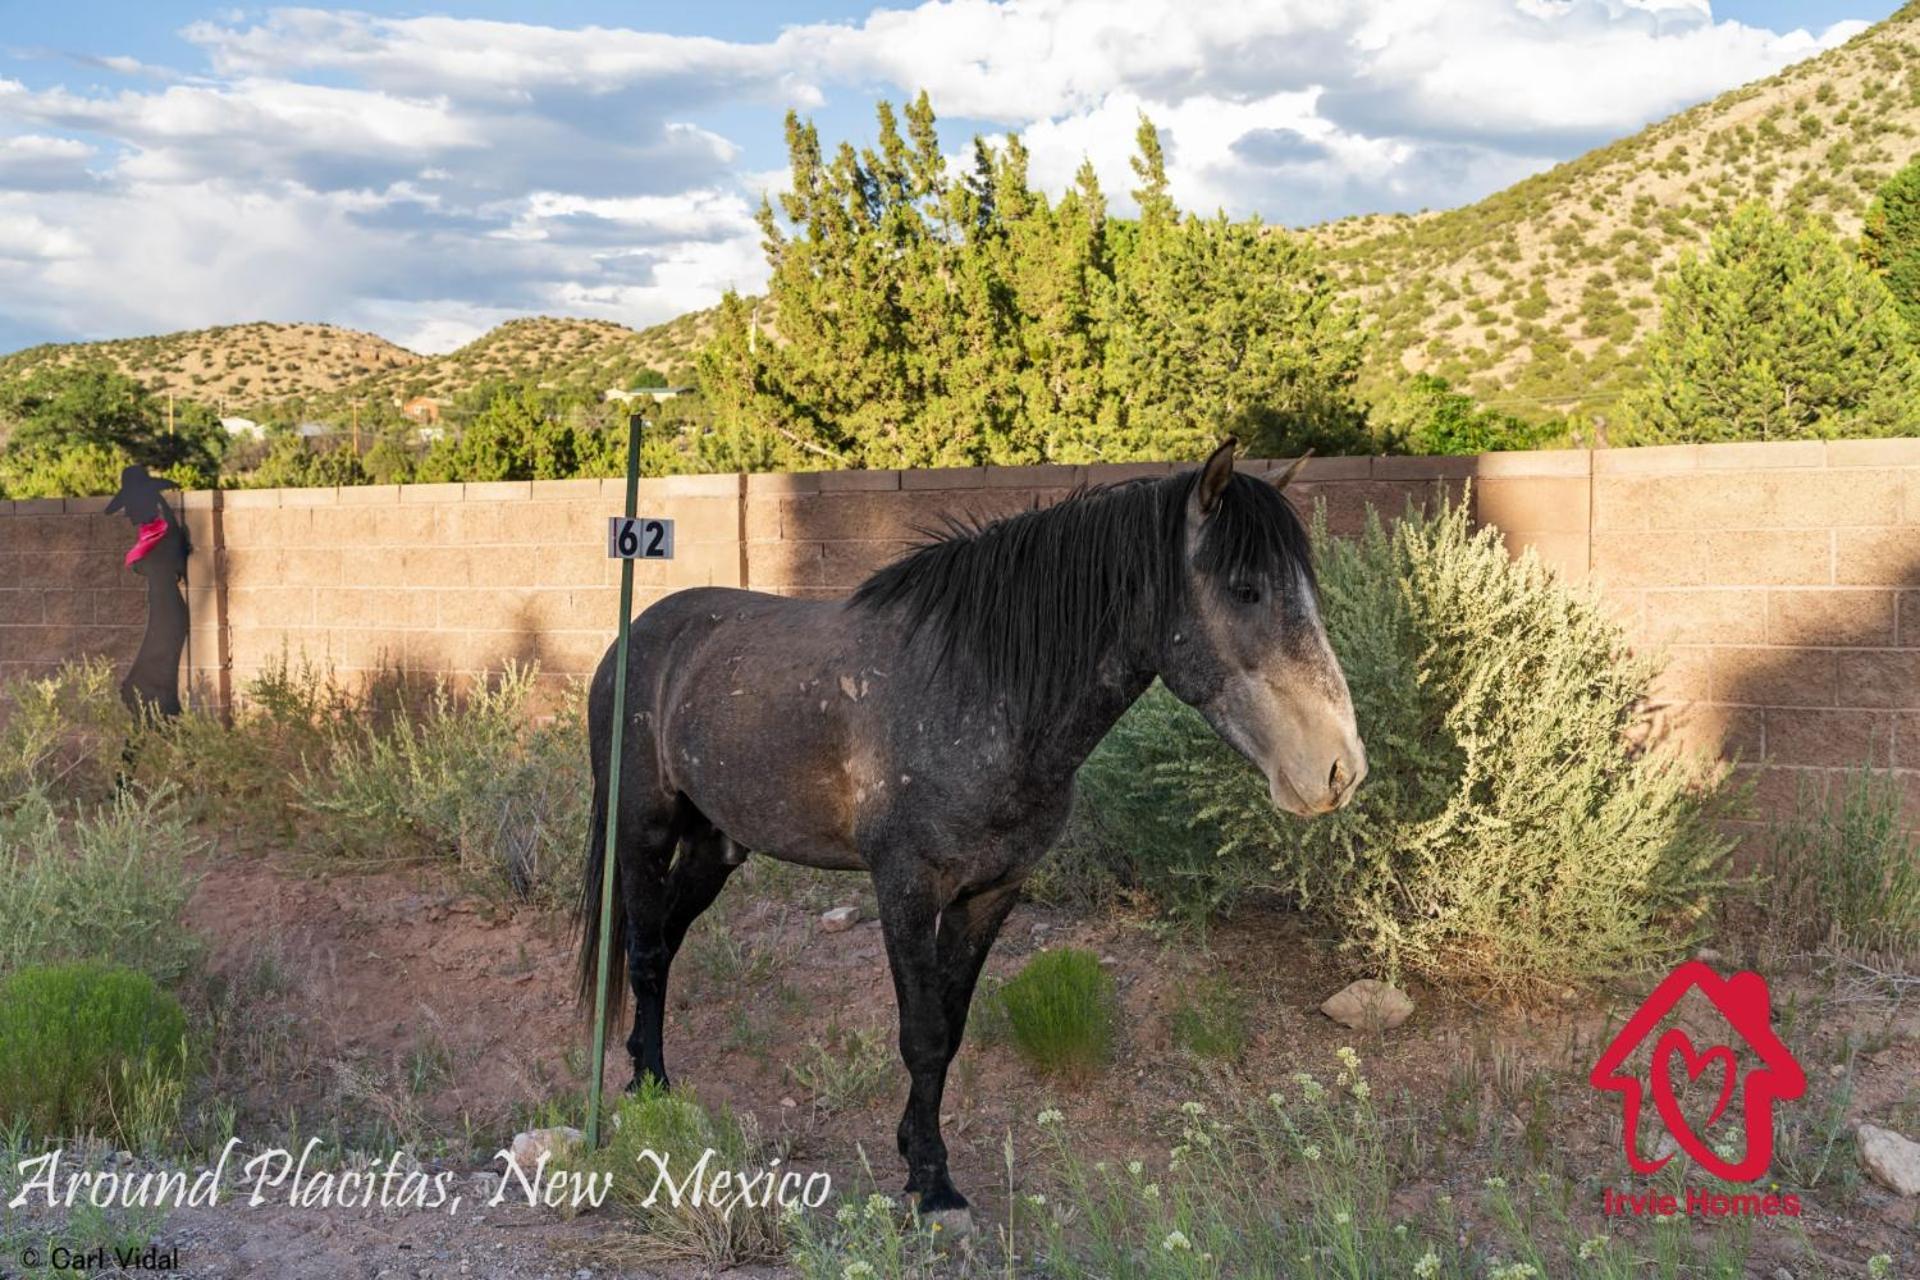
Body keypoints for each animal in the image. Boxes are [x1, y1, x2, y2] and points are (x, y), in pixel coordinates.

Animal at [568, 437, 1367, 1220]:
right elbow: (922, 1035)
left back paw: (647, 1070)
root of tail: (634, 637)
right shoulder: (904, 889)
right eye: (1245, 589)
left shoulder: (991, 895)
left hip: (716, 846)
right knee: (644, 951)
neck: (984, 695)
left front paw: (916, 1152)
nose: (1340, 769)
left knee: (666, 942)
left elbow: (948, 1032)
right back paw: (646, 1089)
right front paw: (931, 1184)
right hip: (642, 833)